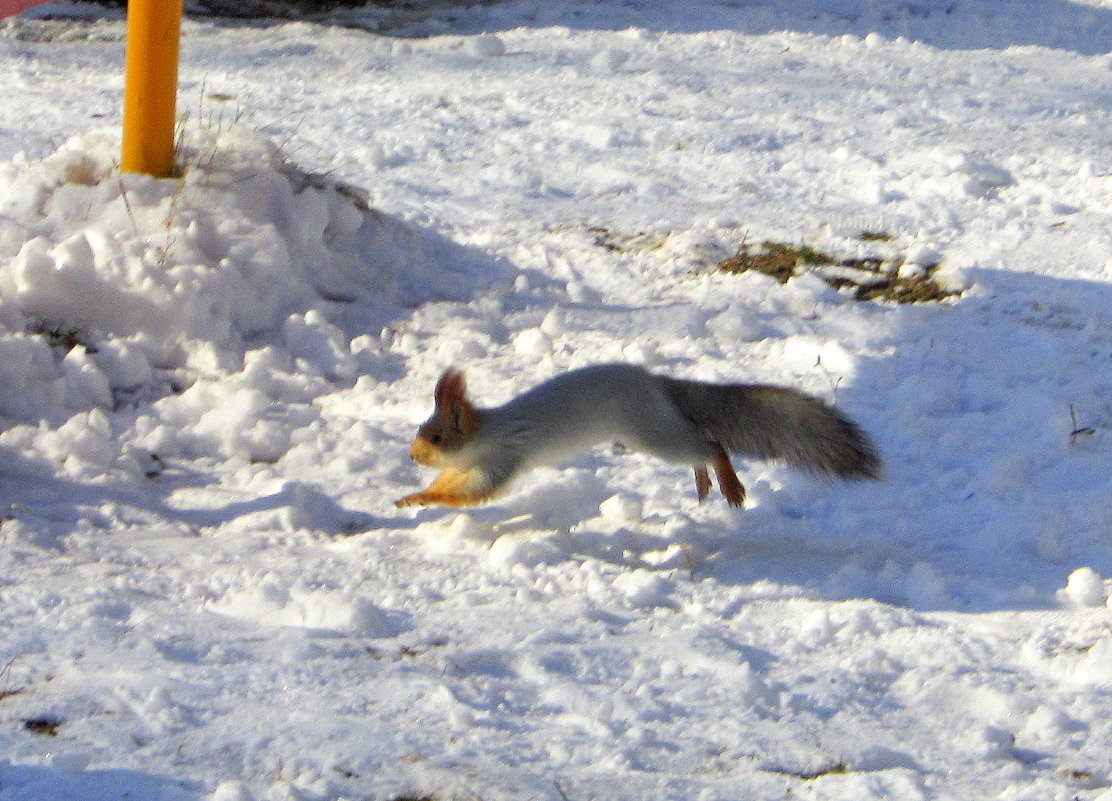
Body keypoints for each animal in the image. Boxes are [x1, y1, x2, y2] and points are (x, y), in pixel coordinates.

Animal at [395, 362, 880, 507]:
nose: (412, 456)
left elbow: (472, 492)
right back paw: (705, 484)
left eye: (436, 438)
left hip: (651, 433)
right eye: (420, 431)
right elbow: (452, 481)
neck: (485, 434)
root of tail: (657, 384)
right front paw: (412, 495)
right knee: (698, 446)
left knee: (710, 444)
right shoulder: (475, 463)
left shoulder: (501, 458)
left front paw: (420, 499)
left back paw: (728, 484)